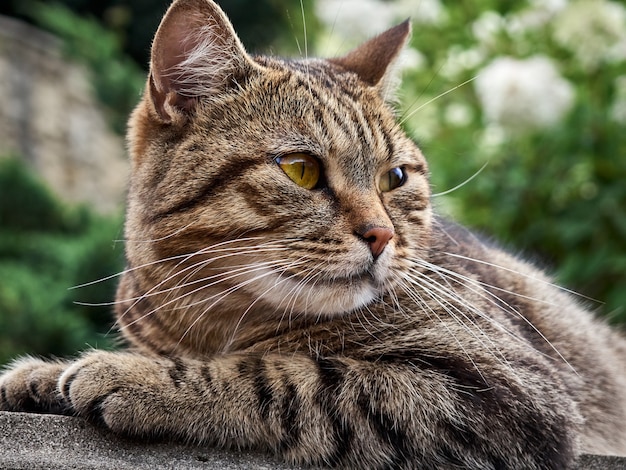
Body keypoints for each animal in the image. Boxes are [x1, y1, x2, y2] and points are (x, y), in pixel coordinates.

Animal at [1, 0, 624, 468]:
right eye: (300, 169)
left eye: (395, 177)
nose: (382, 235)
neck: (207, 321)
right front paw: (43, 373)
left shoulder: (503, 389)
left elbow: (286, 377)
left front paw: (133, 374)